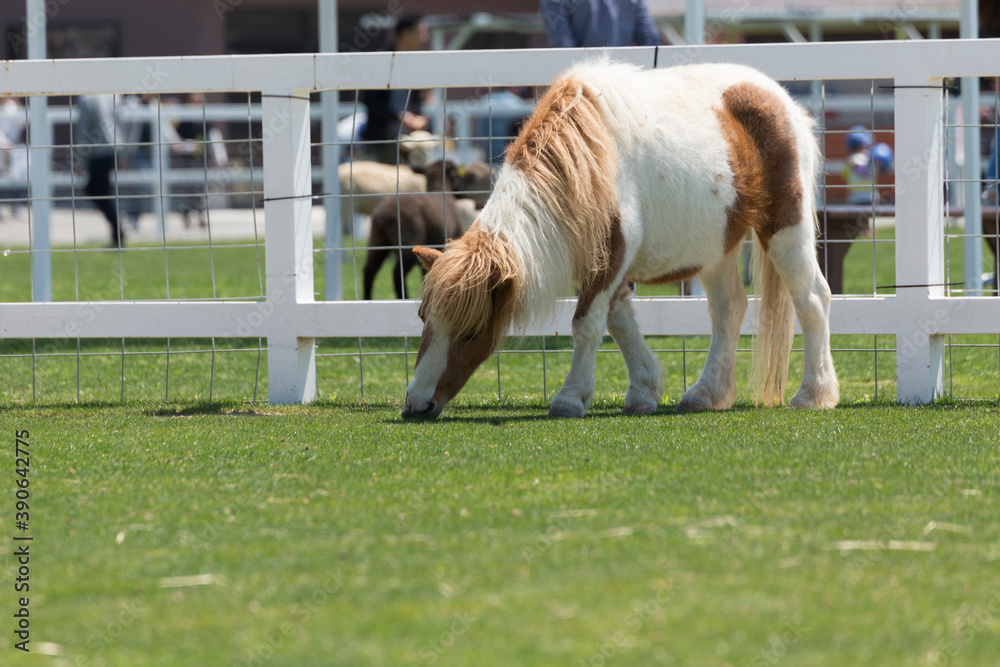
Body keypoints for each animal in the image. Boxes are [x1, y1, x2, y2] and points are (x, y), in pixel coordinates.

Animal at [402, 61, 840, 418]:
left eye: (472, 332)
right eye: (423, 318)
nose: (416, 406)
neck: (582, 161)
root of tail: (781, 100)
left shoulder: (613, 254)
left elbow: (587, 324)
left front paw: (570, 397)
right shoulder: (600, 262)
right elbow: (619, 321)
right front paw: (644, 391)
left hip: (785, 228)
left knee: (812, 298)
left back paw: (814, 393)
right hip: (718, 246)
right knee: (729, 308)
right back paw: (706, 393)